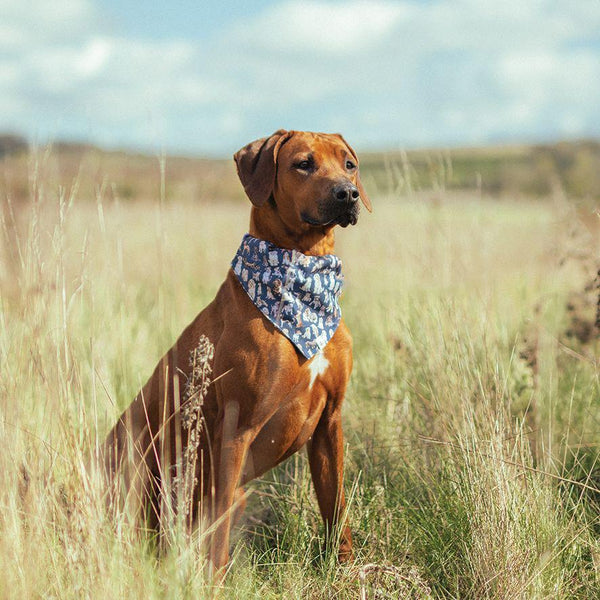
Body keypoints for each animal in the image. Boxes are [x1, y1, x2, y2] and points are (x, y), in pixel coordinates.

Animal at [101, 129, 372, 576]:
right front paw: (212, 583)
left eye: (349, 164)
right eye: (303, 163)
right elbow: (218, 540)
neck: (303, 277)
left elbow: (337, 510)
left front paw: (345, 573)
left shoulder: (330, 422)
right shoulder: (236, 429)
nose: (347, 194)